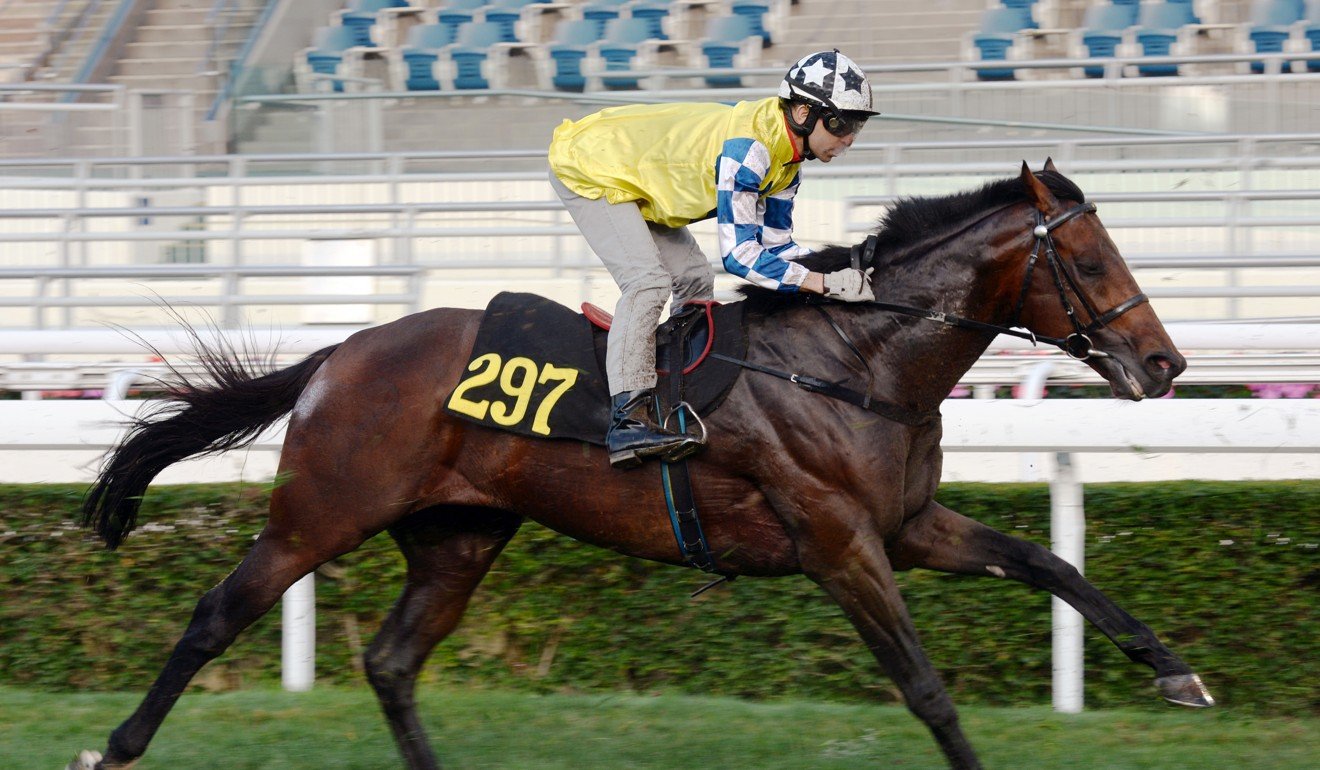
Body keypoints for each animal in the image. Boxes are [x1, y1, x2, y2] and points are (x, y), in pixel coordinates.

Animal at [66, 162, 1209, 770]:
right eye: (1091, 259)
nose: (1166, 363)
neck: (856, 361)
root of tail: (340, 353)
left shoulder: (907, 524)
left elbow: (1049, 562)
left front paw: (1174, 670)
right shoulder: (838, 541)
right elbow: (924, 684)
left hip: (460, 534)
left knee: (390, 660)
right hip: (321, 511)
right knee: (217, 614)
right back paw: (110, 745)